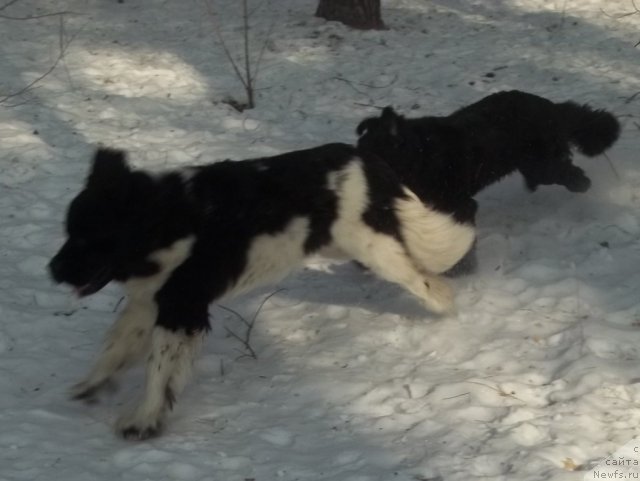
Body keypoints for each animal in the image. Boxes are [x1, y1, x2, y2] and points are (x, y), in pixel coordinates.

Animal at [48, 143, 476, 438]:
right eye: (70, 233)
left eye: (86, 239)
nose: (51, 270)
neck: (163, 219)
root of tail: (364, 159)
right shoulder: (151, 300)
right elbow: (116, 346)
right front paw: (94, 386)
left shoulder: (181, 306)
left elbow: (158, 367)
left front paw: (143, 420)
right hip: (345, 243)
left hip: (373, 246)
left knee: (426, 278)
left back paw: (447, 311)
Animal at [356, 90, 620, 225]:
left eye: (372, 158)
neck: (420, 158)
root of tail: (551, 107)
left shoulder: (460, 205)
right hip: (534, 164)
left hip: (543, 162)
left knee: (570, 172)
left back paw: (581, 185)